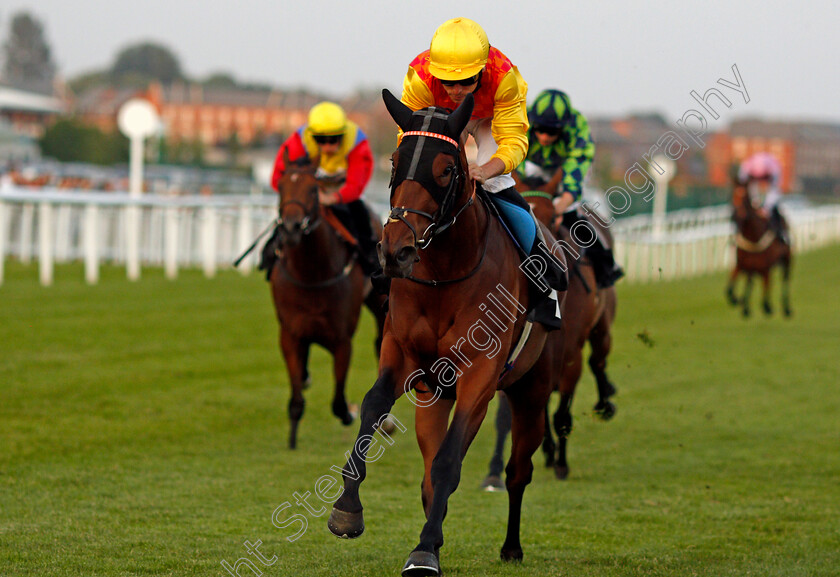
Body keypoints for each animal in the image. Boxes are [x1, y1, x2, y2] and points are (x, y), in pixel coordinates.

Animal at [270, 154, 388, 450]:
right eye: (281, 187)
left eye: (313, 190)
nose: (291, 227)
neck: (312, 274)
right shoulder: (290, 335)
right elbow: (296, 398)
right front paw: (292, 440)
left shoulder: (342, 339)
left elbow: (338, 402)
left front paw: (351, 411)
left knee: (381, 341)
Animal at [324, 92, 568, 572]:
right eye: (395, 161)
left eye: (447, 170)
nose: (396, 250)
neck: (445, 272)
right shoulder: (403, 354)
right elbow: (373, 406)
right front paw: (347, 510)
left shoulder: (480, 375)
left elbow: (449, 462)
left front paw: (422, 552)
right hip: (433, 395)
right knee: (427, 472)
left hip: (531, 390)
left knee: (517, 470)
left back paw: (510, 546)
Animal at [486, 179, 616, 482]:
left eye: (552, 217)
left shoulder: (571, 355)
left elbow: (561, 414)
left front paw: (561, 463)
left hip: (602, 326)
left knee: (598, 361)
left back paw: (605, 402)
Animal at [724, 179, 792, 318]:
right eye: (732, 195)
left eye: (745, 198)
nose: (735, 216)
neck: (753, 237)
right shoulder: (741, 264)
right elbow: (729, 290)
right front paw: (738, 301)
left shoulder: (765, 267)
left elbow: (766, 287)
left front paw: (767, 307)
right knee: (752, 282)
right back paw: (747, 306)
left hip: (787, 259)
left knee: (784, 279)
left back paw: (785, 308)